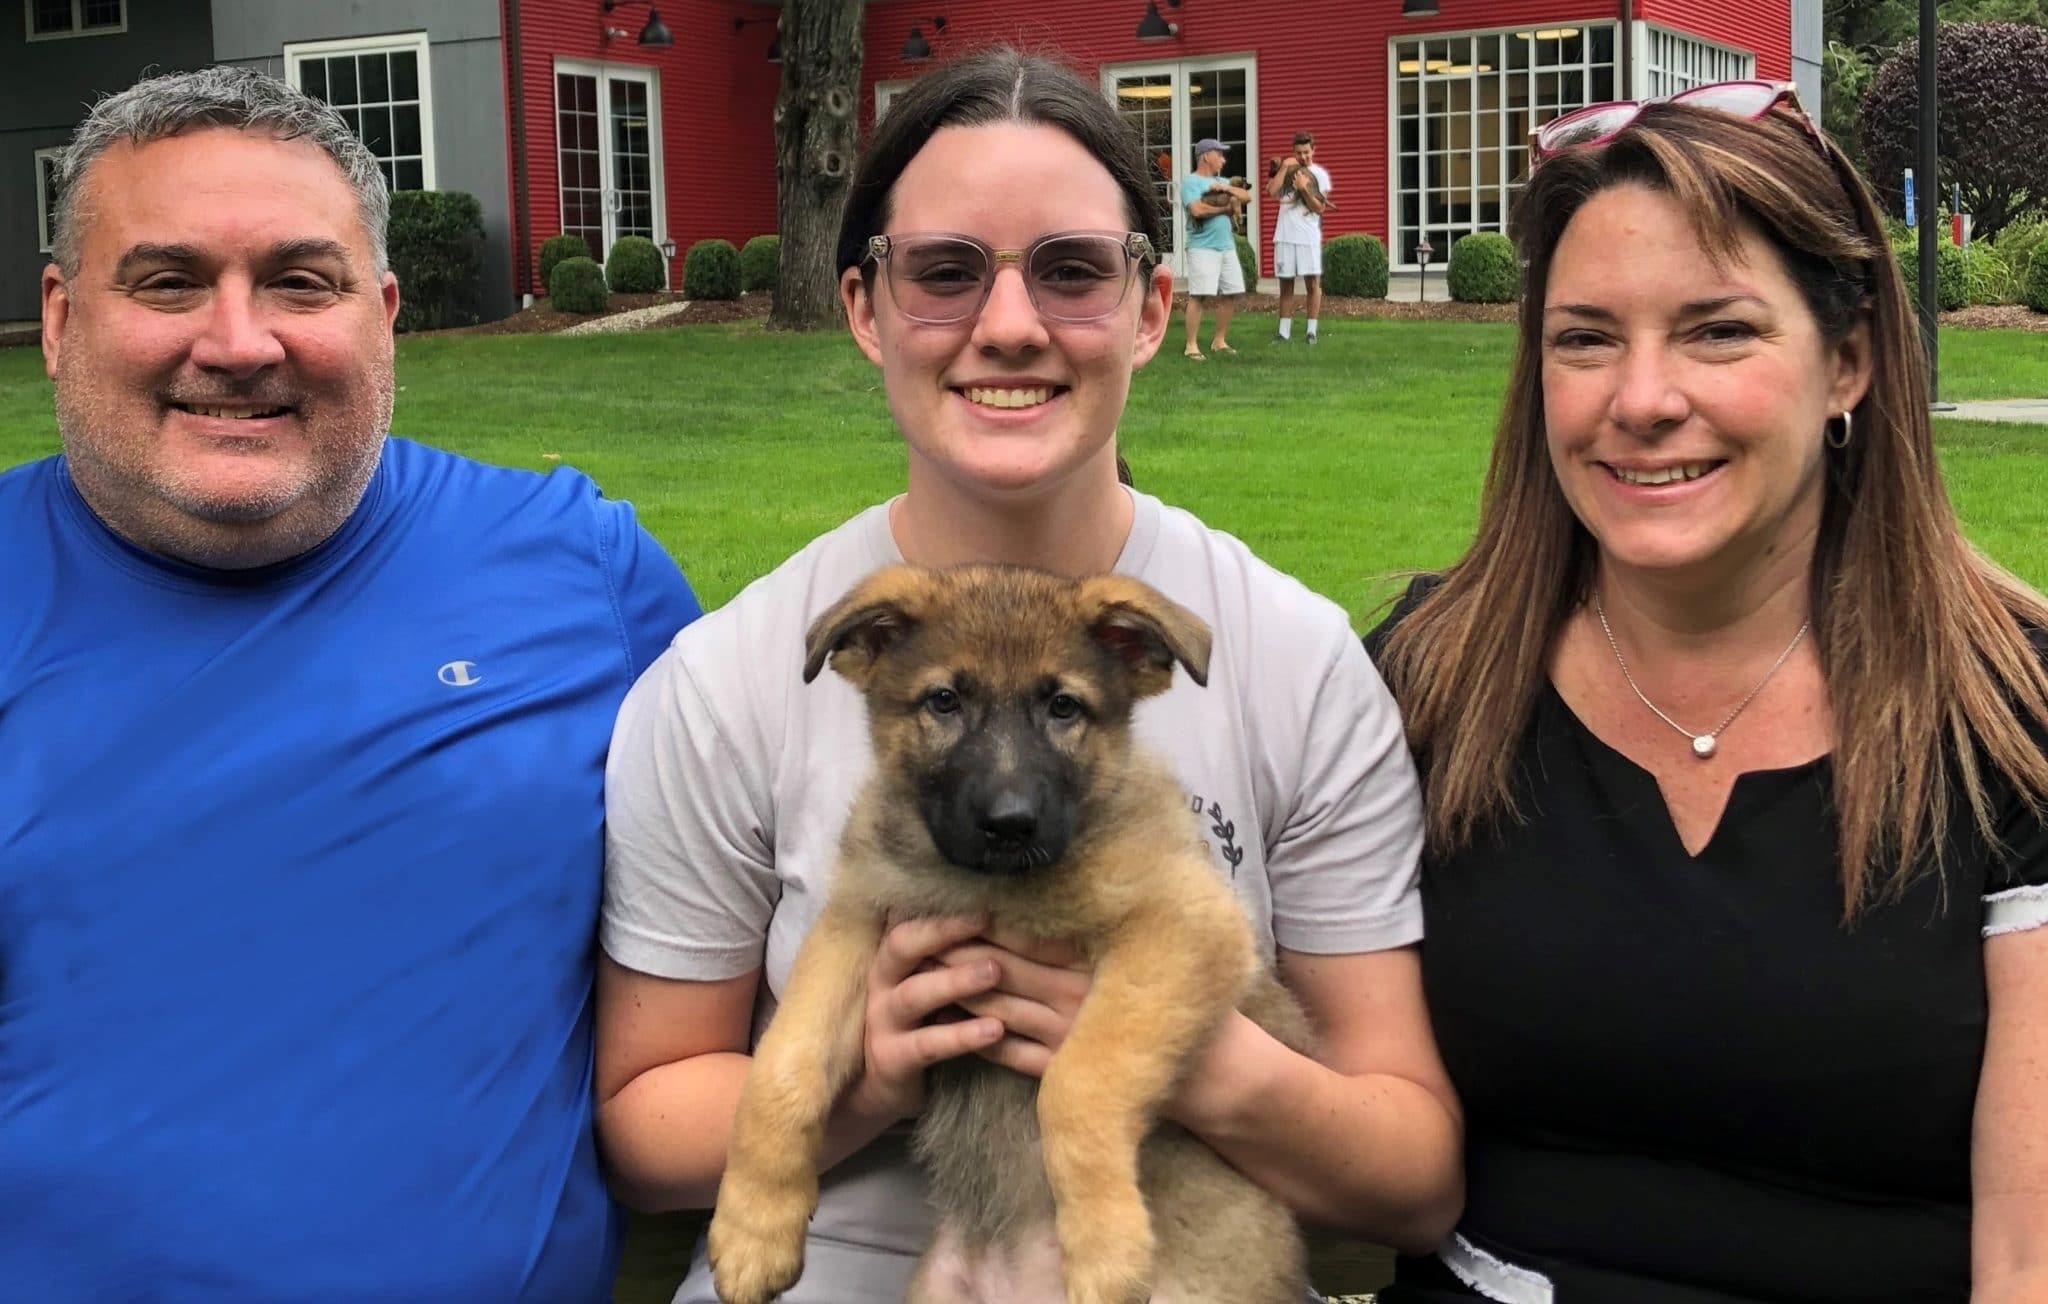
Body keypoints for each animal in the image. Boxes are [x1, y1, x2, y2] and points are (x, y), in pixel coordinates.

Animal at [704, 569, 1310, 1301]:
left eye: (1064, 707)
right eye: (944, 701)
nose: (1010, 823)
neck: (987, 885)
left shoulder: (1187, 924)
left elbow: (1077, 1082)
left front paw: (1106, 1250)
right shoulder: (856, 923)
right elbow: (782, 1070)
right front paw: (752, 1232)